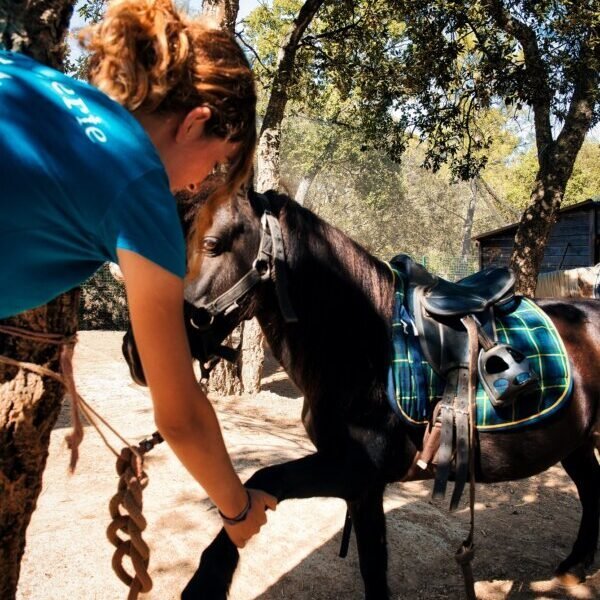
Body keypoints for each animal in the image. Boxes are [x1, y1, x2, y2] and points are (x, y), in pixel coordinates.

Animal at [124, 189, 596, 600]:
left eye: (212, 243)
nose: (136, 352)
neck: (363, 347)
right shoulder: (362, 488)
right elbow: (372, 567)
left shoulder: (354, 470)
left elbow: (265, 478)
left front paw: (208, 580)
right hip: (575, 440)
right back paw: (574, 568)